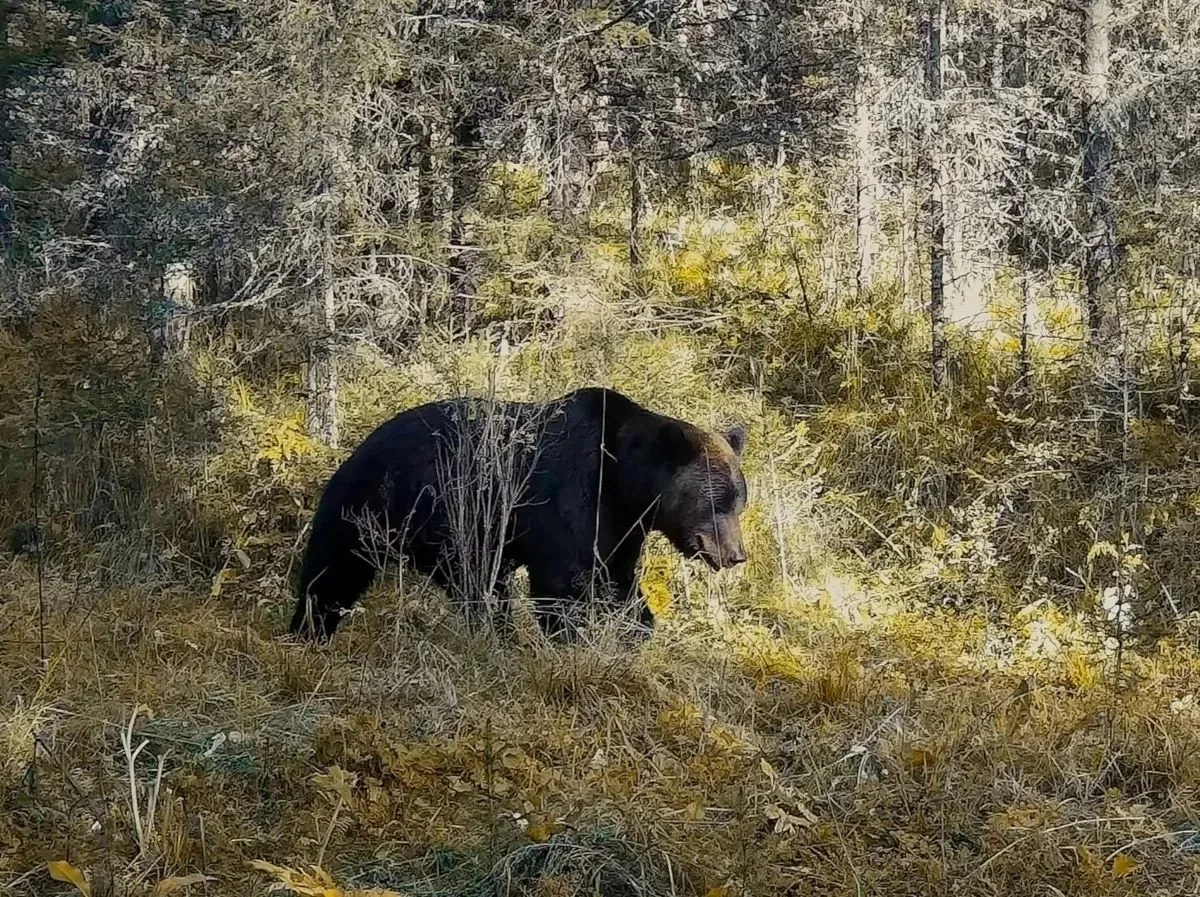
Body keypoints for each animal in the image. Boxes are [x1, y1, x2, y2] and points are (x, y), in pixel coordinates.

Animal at [288, 386, 748, 642]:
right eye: (718, 501)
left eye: (740, 499)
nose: (735, 554)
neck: (623, 481)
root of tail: (354, 449)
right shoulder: (568, 496)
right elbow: (563, 583)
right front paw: (573, 636)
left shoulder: (620, 527)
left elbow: (617, 578)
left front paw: (637, 628)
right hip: (380, 506)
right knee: (332, 572)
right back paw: (308, 631)